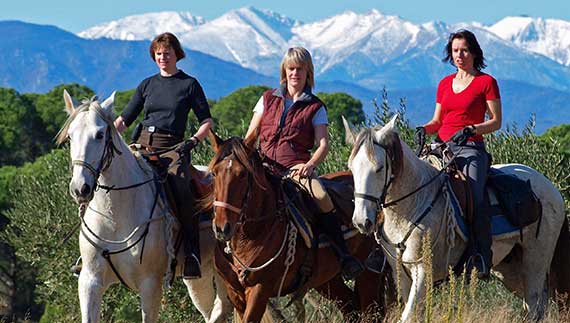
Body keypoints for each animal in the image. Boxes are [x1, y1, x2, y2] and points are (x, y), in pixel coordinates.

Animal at [59, 91, 231, 323]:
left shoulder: (150, 285)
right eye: (70, 136)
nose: (80, 188)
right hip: (199, 278)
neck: (114, 217)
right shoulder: (89, 281)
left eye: (100, 134)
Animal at [207, 132, 390, 323]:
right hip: (328, 280)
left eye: (242, 174)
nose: (222, 228)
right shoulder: (235, 293)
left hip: (369, 274)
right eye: (214, 173)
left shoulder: (260, 289)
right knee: (350, 307)